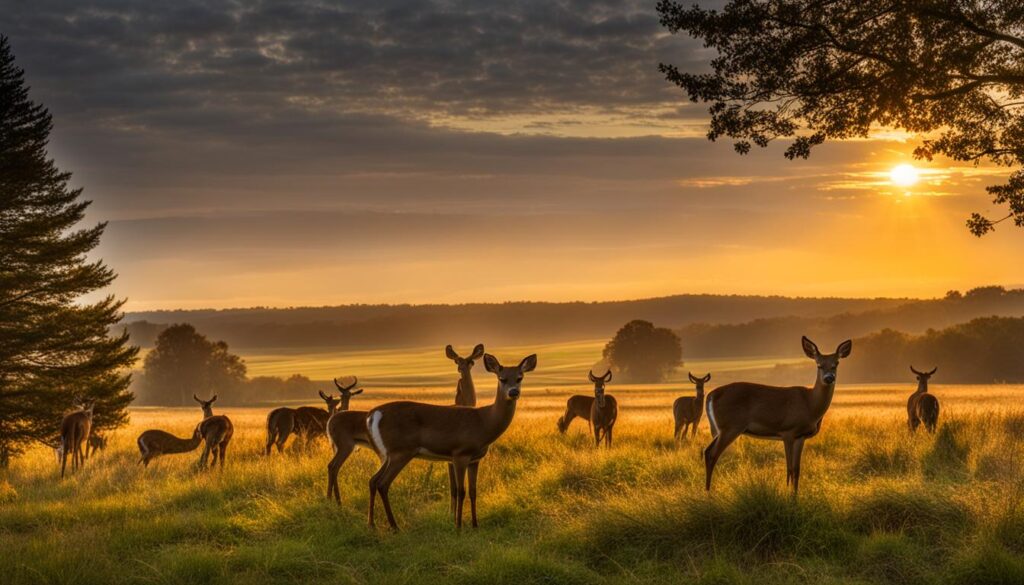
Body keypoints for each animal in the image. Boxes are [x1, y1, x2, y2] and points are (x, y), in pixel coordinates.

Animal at [370, 352, 544, 532]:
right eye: (502, 378)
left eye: (519, 377)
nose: (514, 392)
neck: (484, 422)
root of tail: (374, 414)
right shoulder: (460, 454)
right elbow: (461, 491)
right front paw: (458, 526)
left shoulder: (475, 459)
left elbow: (473, 491)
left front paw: (475, 525)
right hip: (401, 451)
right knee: (383, 483)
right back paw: (394, 526)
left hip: (389, 454)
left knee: (374, 480)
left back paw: (373, 524)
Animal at [700, 336, 851, 495]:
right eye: (819, 364)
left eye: (836, 364)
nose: (829, 378)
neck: (810, 404)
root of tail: (711, 395)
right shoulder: (788, 431)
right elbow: (789, 468)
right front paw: (787, 494)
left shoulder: (801, 436)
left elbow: (797, 470)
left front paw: (795, 495)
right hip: (730, 426)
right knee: (712, 454)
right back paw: (708, 494)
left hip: (722, 429)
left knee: (707, 451)